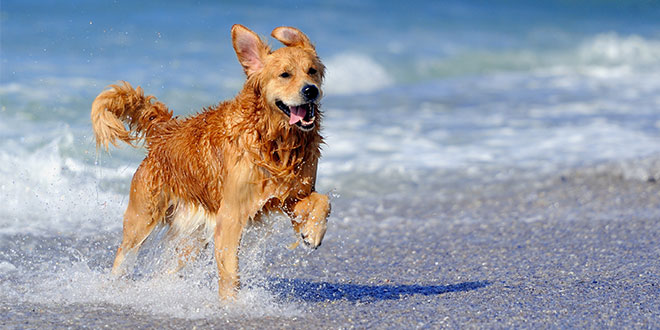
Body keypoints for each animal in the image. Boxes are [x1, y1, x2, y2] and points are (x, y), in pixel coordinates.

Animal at [89, 23, 330, 300]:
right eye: (285, 75)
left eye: (312, 71)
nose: (310, 90)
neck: (274, 140)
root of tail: (165, 132)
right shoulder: (232, 214)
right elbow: (230, 272)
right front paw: (231, 304)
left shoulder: (290, 195)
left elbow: (323, 200)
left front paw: (313, 232)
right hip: (142, 218)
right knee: (124, 256)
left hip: (193, 237)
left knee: (169, 270)